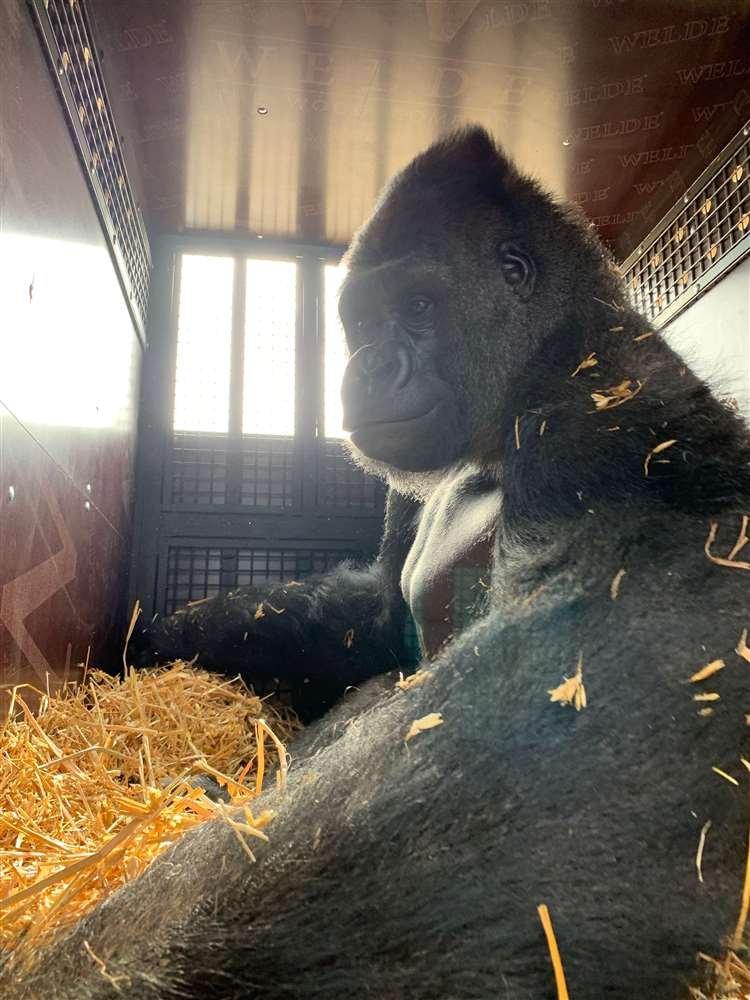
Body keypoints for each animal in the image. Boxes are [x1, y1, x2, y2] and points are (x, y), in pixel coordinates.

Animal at [4, 127, 750, 1000]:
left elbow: (628, 649)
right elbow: (374, 617)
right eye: (361, 319)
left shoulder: (611, 394)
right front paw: (179, 632)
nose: (365, 367)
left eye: (419, 309)